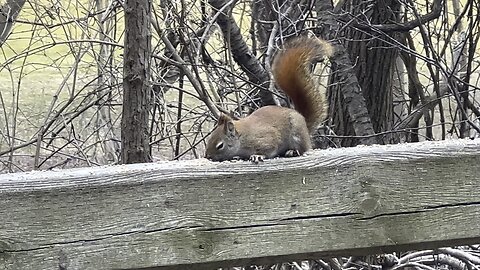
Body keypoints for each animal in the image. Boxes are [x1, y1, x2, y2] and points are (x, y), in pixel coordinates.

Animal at [203, 36, 334, 161]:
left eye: (220, 145)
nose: (207, 156)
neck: (242, 137)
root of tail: (304, 122)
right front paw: (237, 157)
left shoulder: (267, 139)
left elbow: (269, 148)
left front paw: (257, 156)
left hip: (297, 134)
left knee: (303, 148)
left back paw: (292, 151)